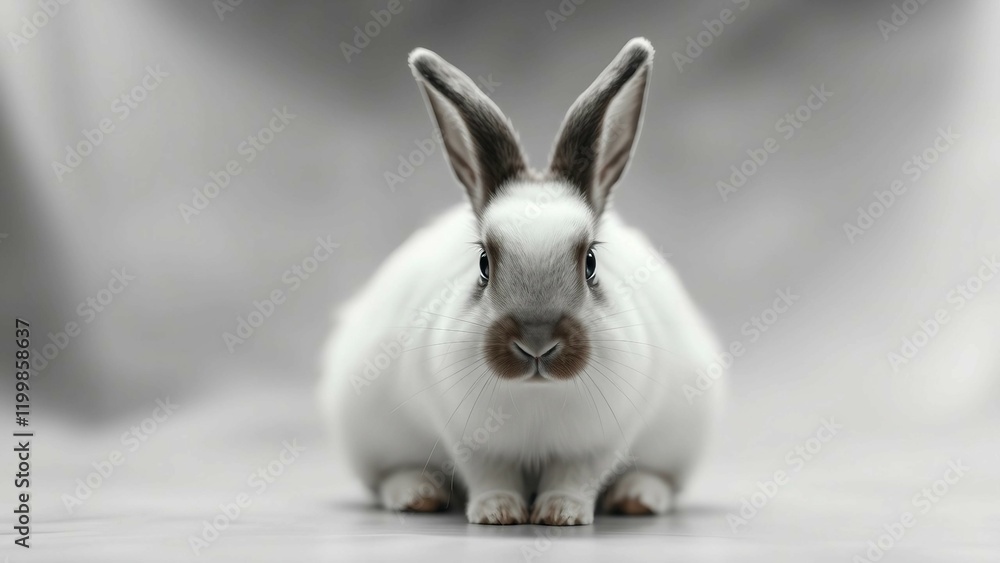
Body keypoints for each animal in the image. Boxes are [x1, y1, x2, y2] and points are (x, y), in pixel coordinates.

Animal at [319, 37, 724, 526]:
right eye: (483, 263)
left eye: (590, 262)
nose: (536, 343)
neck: (536, 397)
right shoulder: (470, 439)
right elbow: (491, 475)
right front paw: (498, 513)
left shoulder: (599, 442)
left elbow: (576, 477)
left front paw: (560, 514)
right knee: (388, 476)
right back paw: (416, 494)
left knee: (661, 477)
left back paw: (637, 497)